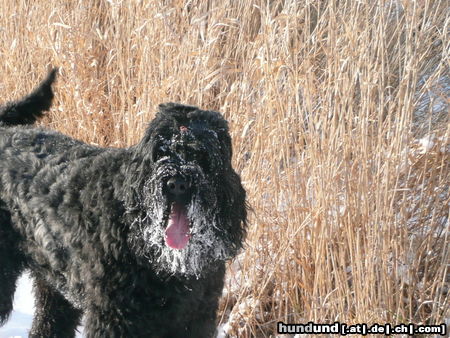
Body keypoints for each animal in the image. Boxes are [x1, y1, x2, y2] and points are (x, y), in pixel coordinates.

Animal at [0, 70, 246, 336]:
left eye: (202, 154)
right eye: (160, 151)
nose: (176, 183)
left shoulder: (196, 318)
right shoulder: (114, 318)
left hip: (54, 286)